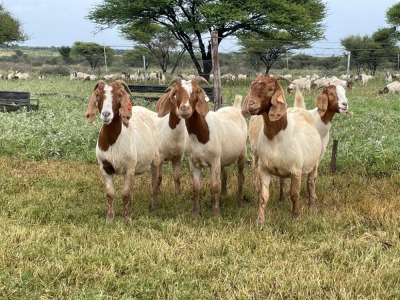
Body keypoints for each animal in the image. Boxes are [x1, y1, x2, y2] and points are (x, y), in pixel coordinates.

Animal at [85, 81, 160, 221]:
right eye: (97, 95)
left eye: (119, 95)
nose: (106, 114)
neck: (113, 142)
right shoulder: (105, 167)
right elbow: (110, 193)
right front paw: (110, 218)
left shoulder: (129, 167)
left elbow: (125, 193)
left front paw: (127, 219)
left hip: (156, 159)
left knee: (155, 182)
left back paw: (153, 206)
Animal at [162, 76, 247, 217]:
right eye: (176, 92)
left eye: (196, 91)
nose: (184, 109)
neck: (202, 135)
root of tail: (235, 107)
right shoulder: (193, 162)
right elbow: (196, 188)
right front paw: (196, 213)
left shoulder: (214, 161)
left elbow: (214, 186)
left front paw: (216, 213)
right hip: (222, 158)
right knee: (224, 174)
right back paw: (223, 195)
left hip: (242, 153)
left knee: (241, 176)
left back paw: (239, 201)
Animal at [241, 74, 322, 225]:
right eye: (251, 86)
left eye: (270, 89)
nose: (251, 104)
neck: (275, 138)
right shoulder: (264, 169)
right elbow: (264, 196)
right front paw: (260, 220)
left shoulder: (296, 170)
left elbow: (295, 194)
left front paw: (296, 215)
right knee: (282, 181)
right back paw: (281, 199)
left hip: (315, 163)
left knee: (311, 182)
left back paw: (312, 205)